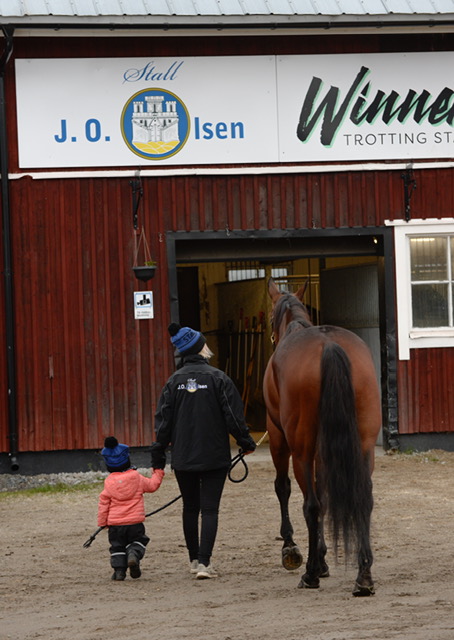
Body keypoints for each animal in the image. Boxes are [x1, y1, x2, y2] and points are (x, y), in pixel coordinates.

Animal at [264, 278, 382, 596]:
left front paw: (292, 549)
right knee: (363, 498)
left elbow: (283, 488)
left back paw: (310, 574)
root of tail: (329, 345)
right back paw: (363, 576)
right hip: (363, 446)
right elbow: (325, 492)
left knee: (311, 504)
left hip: (300, 448)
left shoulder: (278, 437)